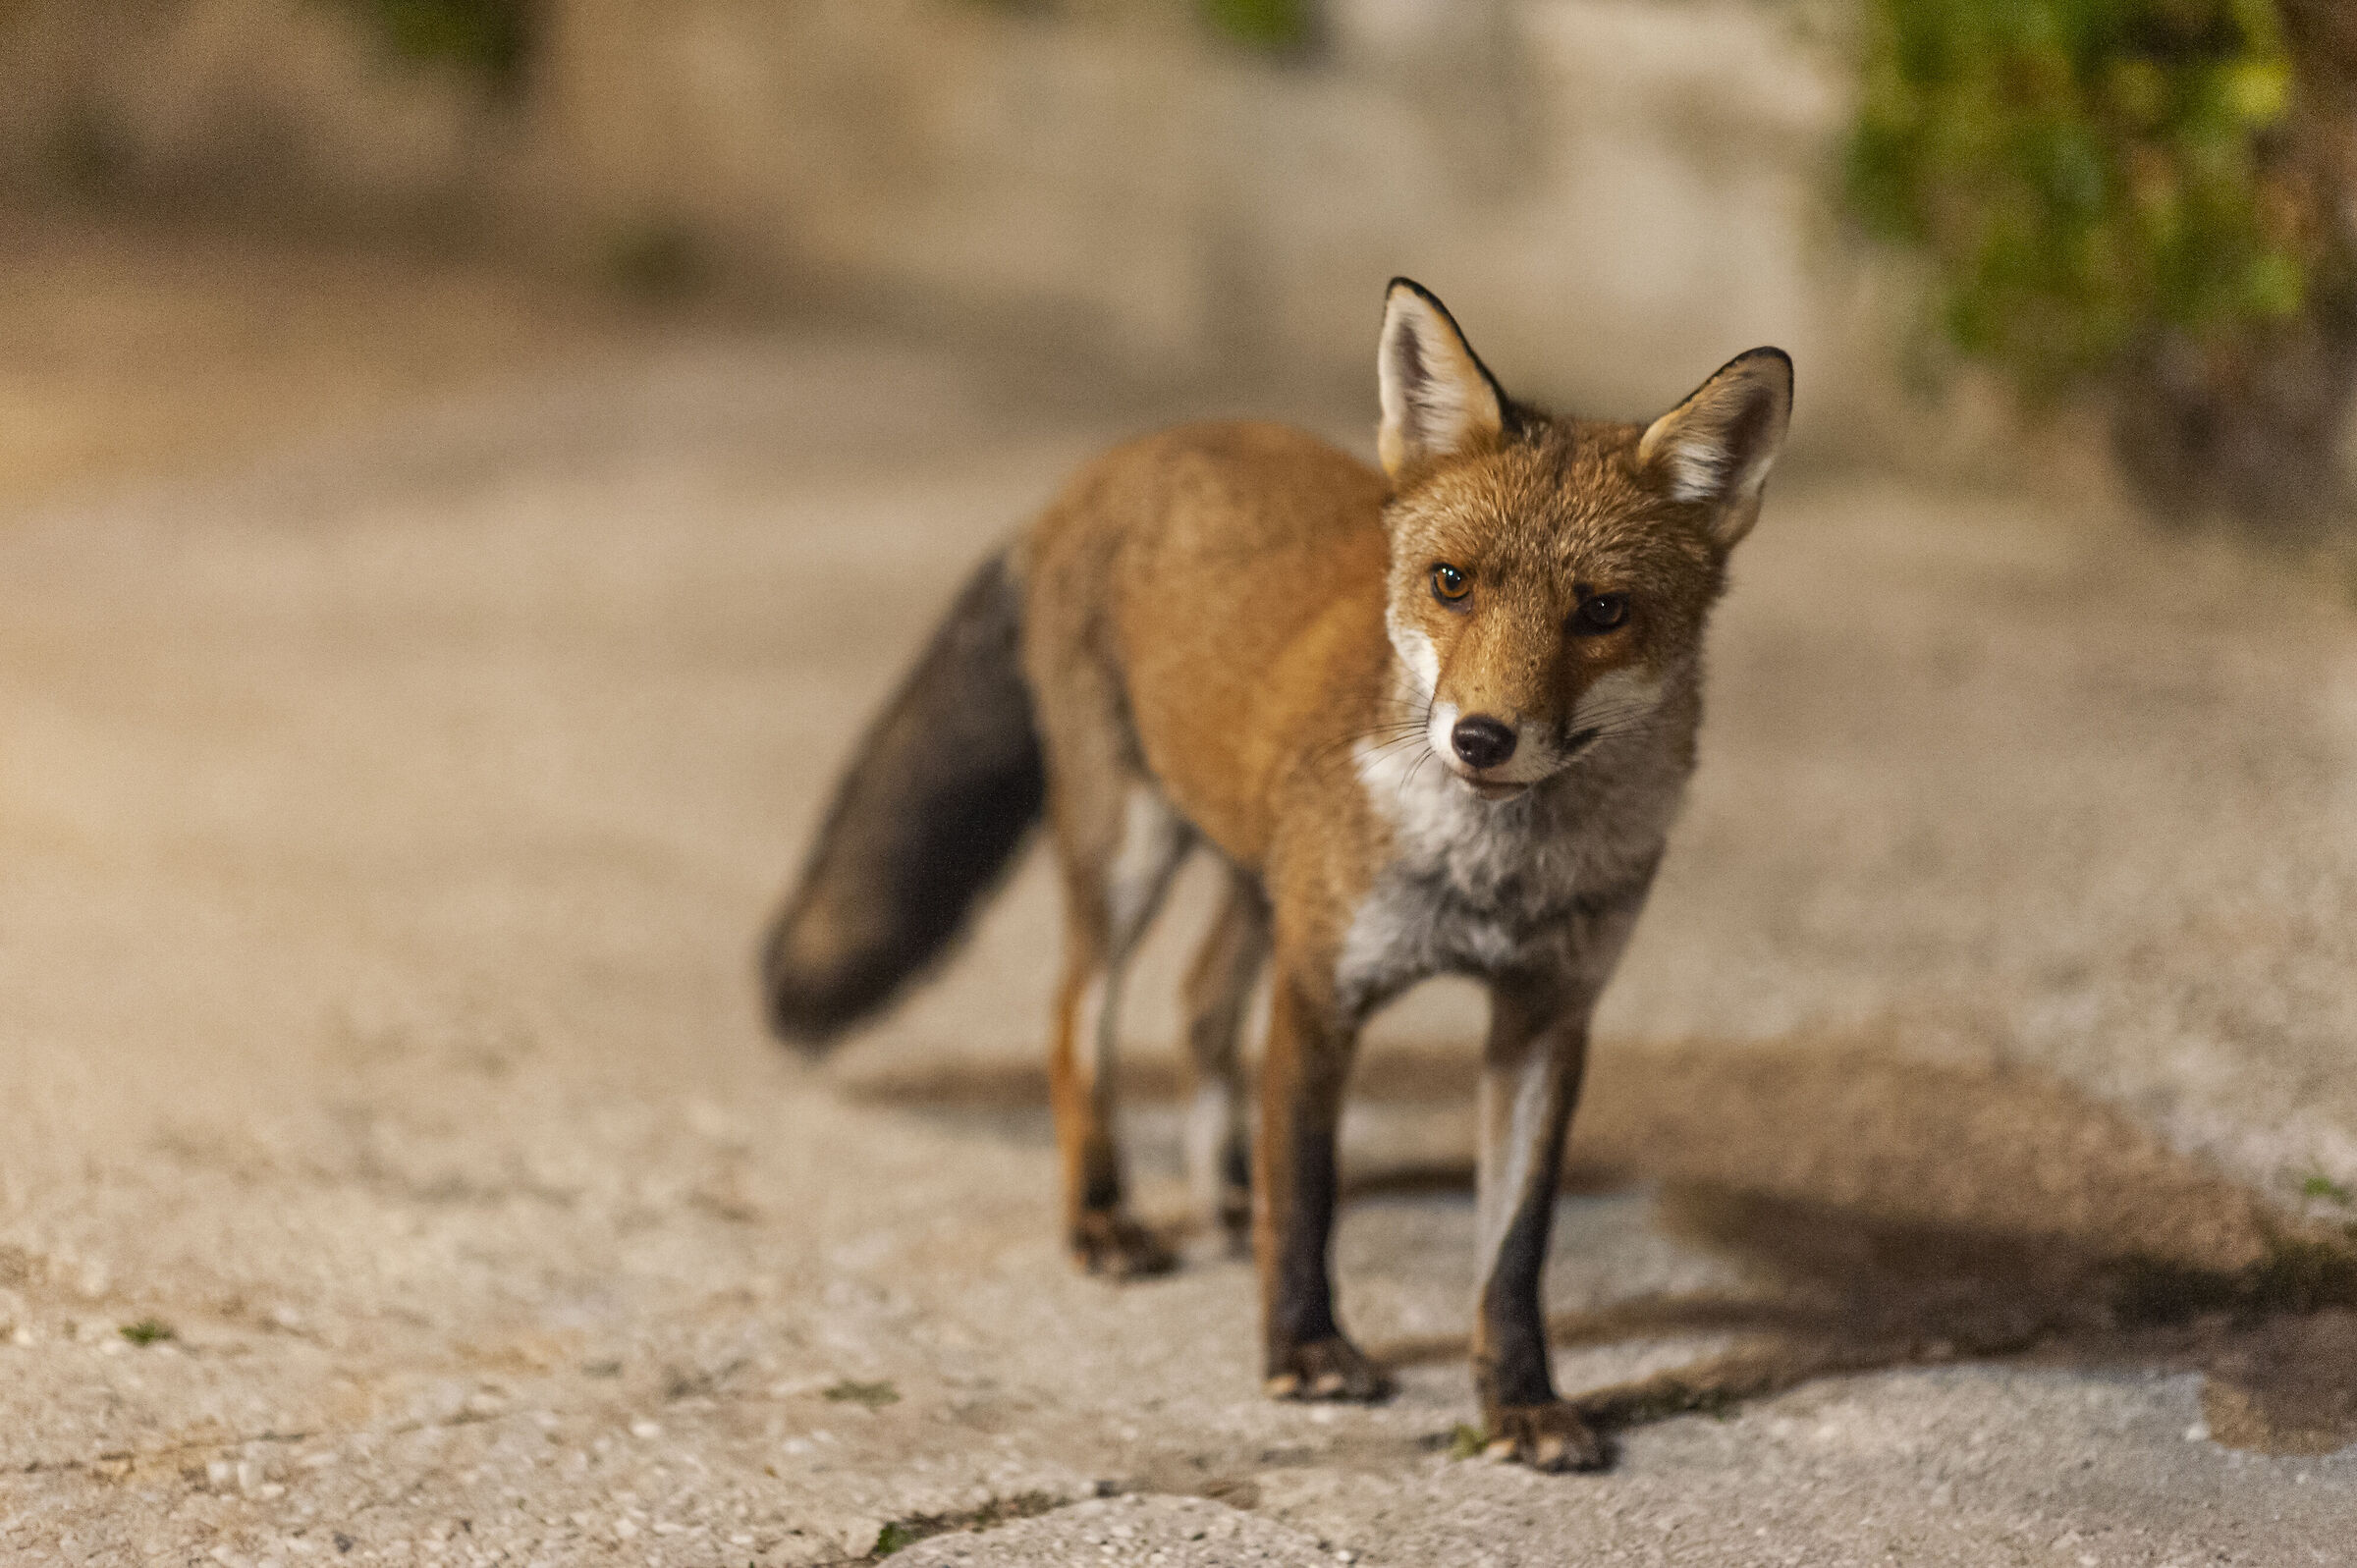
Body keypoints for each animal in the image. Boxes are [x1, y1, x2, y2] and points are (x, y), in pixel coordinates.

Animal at [762, 279, 1791, 1472]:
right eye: (1452, 583)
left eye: (1603, 610)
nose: (1480, 738)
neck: (1492, 873)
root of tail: (1123, 457)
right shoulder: (1319, 988)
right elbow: (1309, 1198)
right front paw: (1304, 1352)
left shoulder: (1547, 1015)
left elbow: (1514, 1248)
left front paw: (1521, 1399)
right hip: (1131, 852)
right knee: (1078, 1019)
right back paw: (1104, 1216)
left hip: (1255, 878)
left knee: (1200, 1006)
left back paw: (1219, 1189)